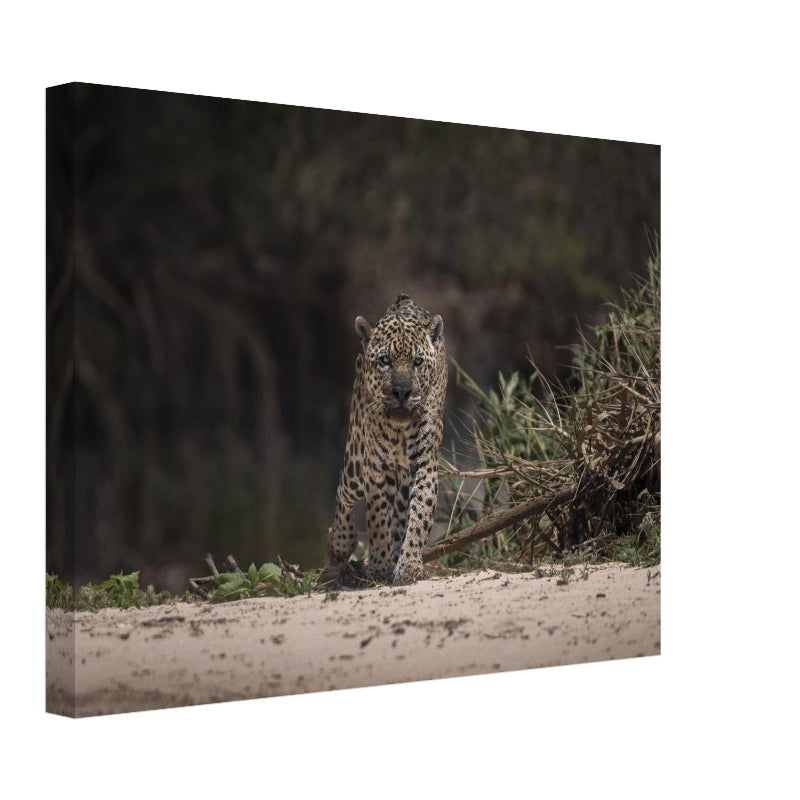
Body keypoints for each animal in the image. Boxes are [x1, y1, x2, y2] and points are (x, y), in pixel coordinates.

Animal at [327, 294, 447, 584]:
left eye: (417, 362)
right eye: (385, 360)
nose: (401, 391)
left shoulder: (425, 465)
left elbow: (419, 515)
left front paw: (408, 565)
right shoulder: (375, 467)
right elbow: (377, 517)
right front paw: (380, 565)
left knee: (401, 515)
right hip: (356, 460)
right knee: (343, 492)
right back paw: (340, 543)